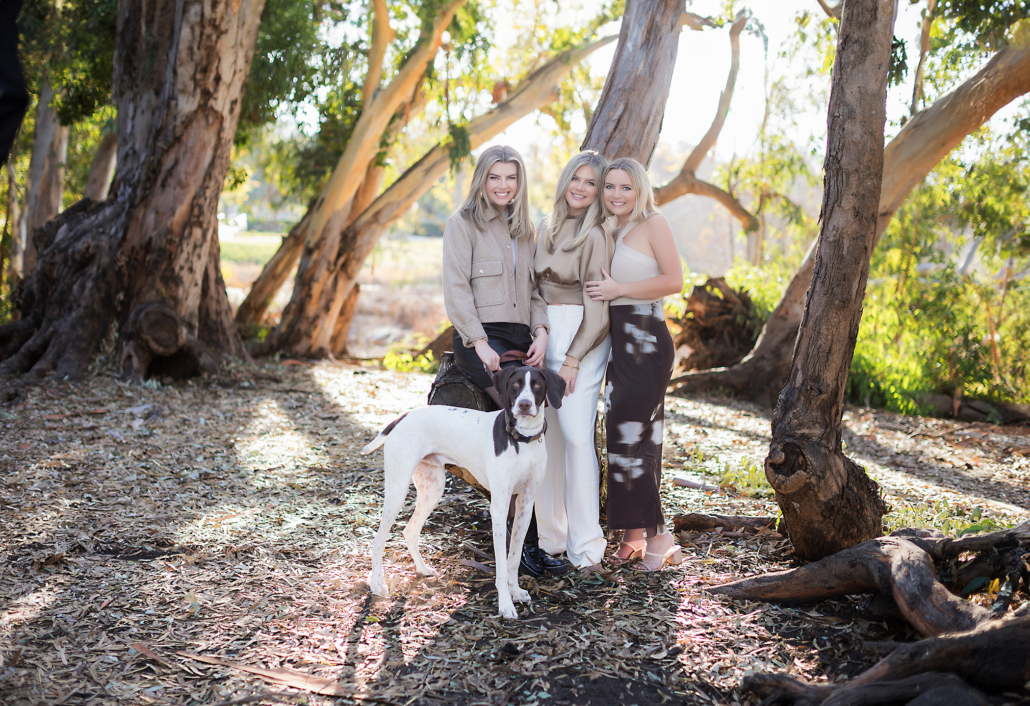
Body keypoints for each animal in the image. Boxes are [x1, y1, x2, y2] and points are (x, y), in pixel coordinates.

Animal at [358, 362, 560, 618]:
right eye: (515, 384)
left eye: (537, 385)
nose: (524, 404)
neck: (522, 441)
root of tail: (404, 417)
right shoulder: (499, 507)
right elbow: (502, 565)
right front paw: (505, 604)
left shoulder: (525, 502)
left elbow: (514, 558)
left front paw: (515, 592)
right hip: (397, 489)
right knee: (378, 540)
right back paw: (377, 584)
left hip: (432, 490)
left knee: (409, 531)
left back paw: (422, 569)